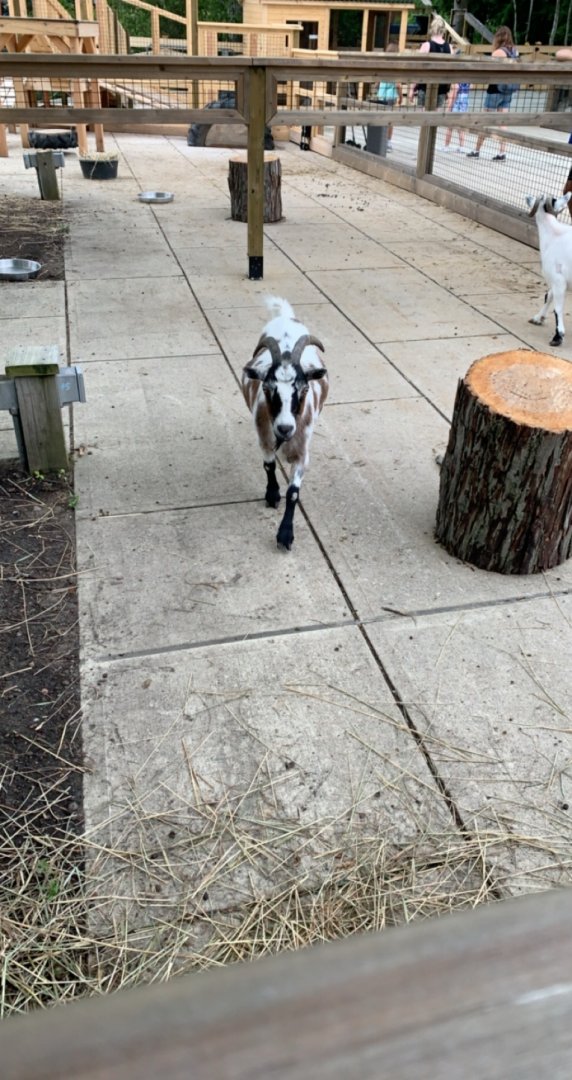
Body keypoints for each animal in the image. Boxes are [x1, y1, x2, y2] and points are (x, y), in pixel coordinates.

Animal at [242, 298, 328, 550]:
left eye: (304, 388)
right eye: (268, 387)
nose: (285, 428)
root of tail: (286, 316)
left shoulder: (302, 453)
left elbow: (294, 494)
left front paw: (285, 535)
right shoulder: (264, 439)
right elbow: (269, 466)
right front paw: (272, 495)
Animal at [526, 192, 572, 347]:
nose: (528, 197)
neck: (554, 235)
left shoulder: (558, 280)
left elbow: (557, 308)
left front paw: (558, 336)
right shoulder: (559, 281)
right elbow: (548, 296)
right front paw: (538, 318)